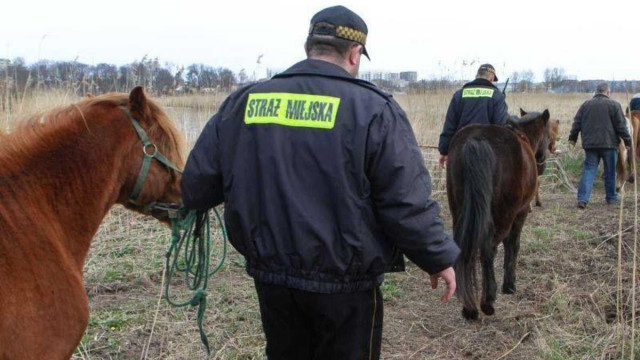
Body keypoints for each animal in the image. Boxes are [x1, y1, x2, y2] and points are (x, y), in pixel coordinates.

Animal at [444, 109, 552, 318]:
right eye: (548, 135)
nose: (542, 166)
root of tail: (477, 140)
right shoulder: (520, 213)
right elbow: (513, 245)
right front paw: (509, 285)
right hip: (503, 216)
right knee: (489, 250)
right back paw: (487, 301)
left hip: (459, 211)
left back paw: (468, 306)